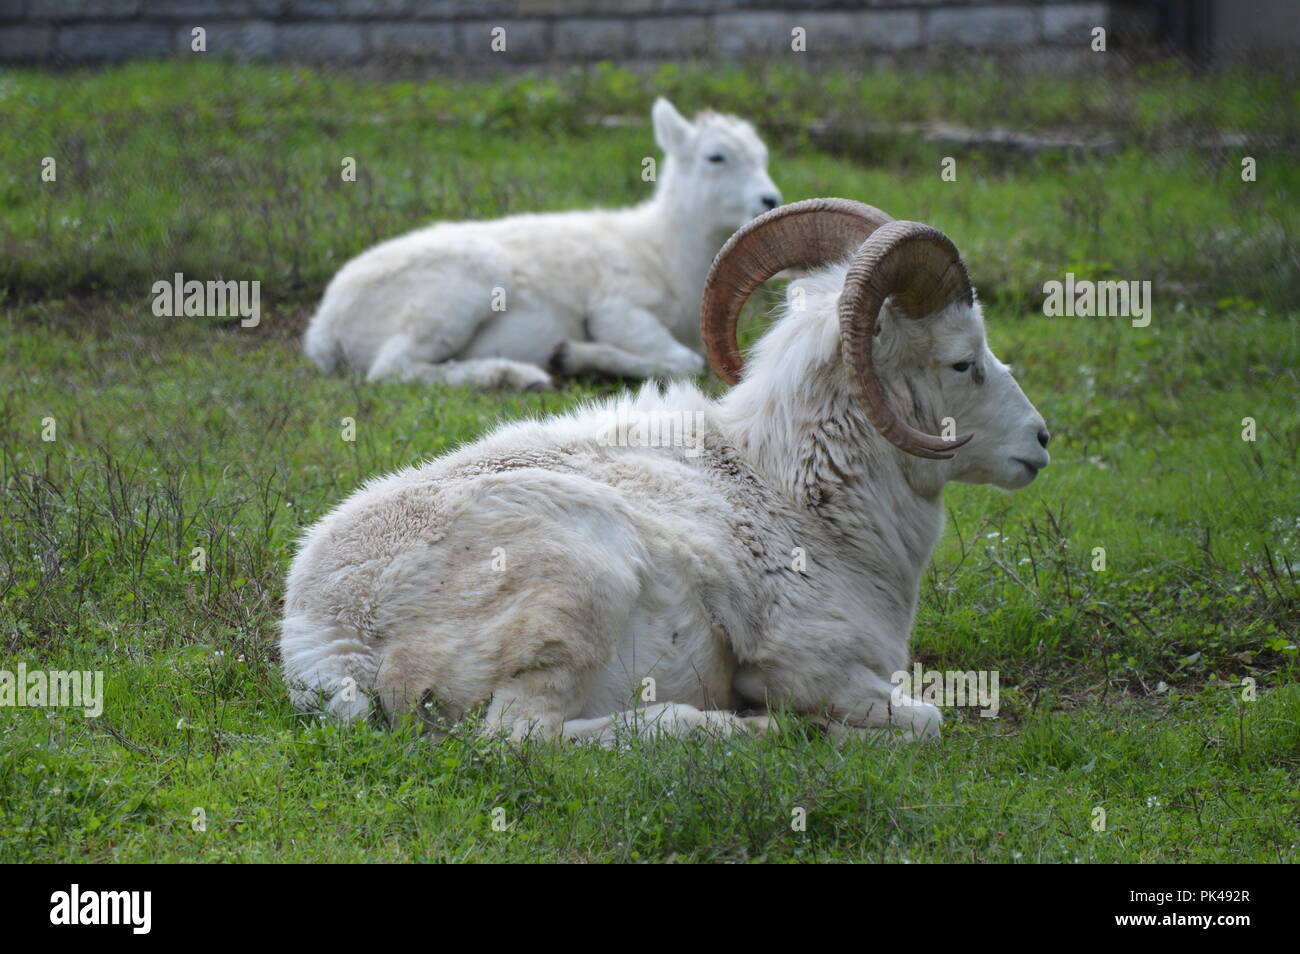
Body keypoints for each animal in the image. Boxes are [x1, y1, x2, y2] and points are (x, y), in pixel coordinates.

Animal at [281, 197, 1052, 744]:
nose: (1040, 441)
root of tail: (332, 635)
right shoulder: (812, 664)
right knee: (520, 738)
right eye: (963, 361)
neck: (794, 497)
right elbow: (926, 721)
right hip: (583, 584)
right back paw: (736, 730)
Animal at [302, 98, 781, 391]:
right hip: (454, 291)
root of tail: (323, 329)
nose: (770, 199)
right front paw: (569, 356)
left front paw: (567, 357)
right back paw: (513, 375)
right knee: (392, 368)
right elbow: (684, 363)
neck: (664, 250)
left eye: (763, 156)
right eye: (715, 157)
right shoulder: (616, 308)